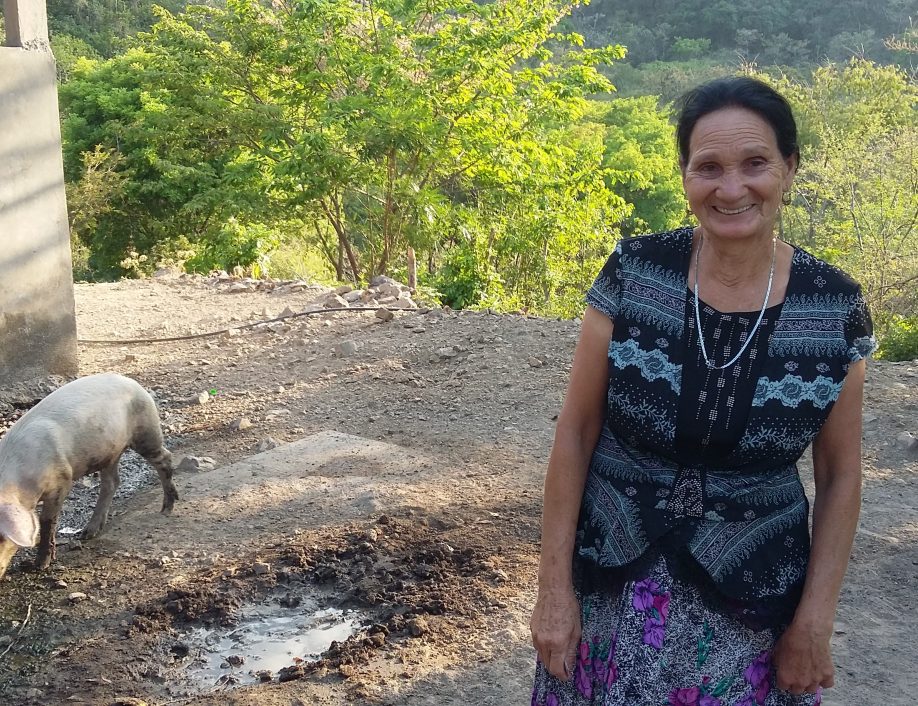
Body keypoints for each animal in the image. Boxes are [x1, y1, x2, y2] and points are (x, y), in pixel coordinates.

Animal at [0, 372, 179, 576]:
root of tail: (132, 382)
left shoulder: (62, 479)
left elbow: (47, 521)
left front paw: (39, 566)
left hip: (146, 430)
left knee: (165, 458)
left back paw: (166, 509)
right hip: (110, 452)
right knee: (112, 482)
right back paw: (88, 533)